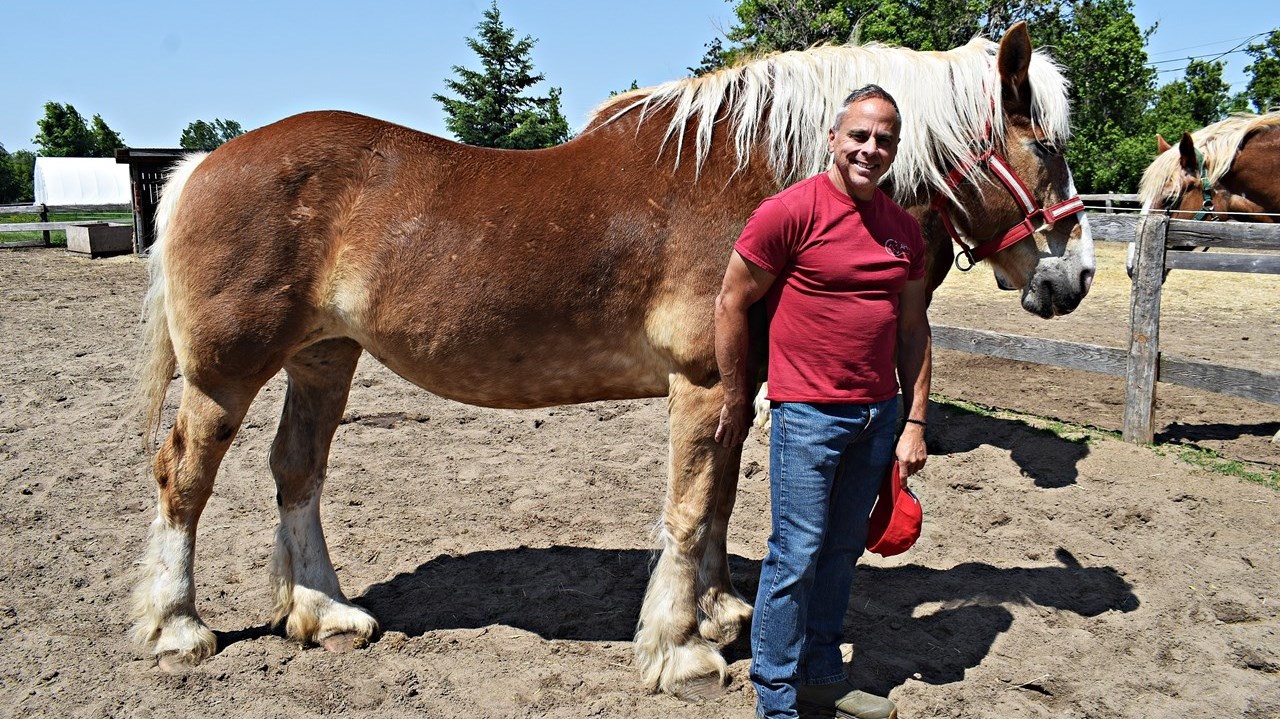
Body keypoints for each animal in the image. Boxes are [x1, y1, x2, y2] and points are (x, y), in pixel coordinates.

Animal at [131, 21, 1093, 699]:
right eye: (1045, 146)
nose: (1076, 276)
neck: (746, 180)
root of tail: (202, 164)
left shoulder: (738, 384)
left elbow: (719, 500)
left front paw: (718, 610)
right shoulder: (701, 384)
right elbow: (689, 507)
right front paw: (680, 650)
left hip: (325, 360)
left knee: (297, 471)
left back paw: (323, 611)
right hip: (225, 374)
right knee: (185, 478)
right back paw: (177, 626)